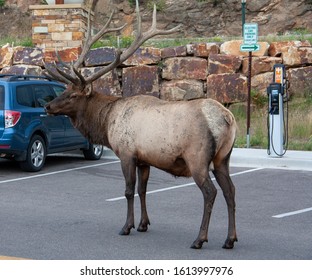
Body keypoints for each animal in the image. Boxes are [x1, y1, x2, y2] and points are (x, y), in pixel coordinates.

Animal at [44, 0, 239, 249]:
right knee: (230, 191)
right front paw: (144, 224)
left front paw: (127, 226)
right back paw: (230, 239)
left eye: (73, 95)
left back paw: (200, 239)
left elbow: (128, 190)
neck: (106, 122)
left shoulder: (126, 153)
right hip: (223, 157)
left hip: (197, 157)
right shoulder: (144, 159)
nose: (47, 106)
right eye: (65, 90)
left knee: (210, 192)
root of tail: (227, 118)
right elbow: (142, 190)